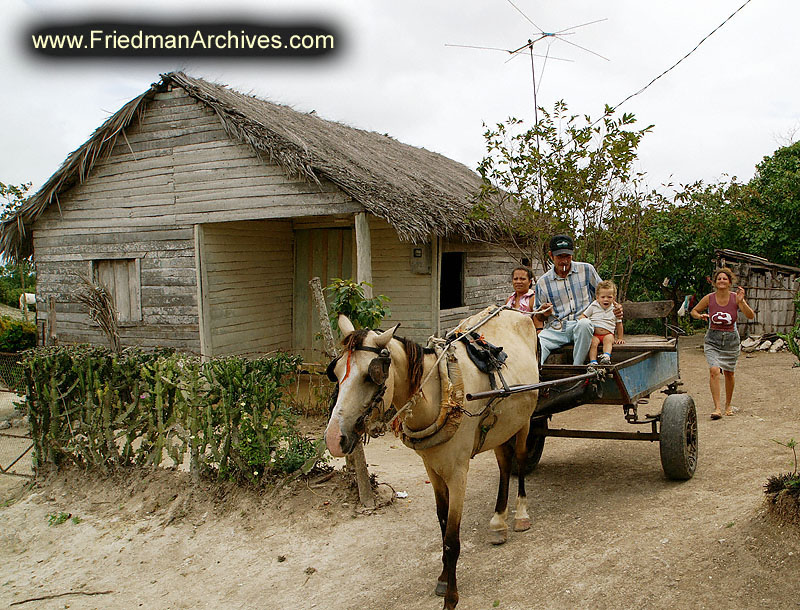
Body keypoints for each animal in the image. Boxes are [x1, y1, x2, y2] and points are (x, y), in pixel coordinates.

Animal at [324, 308, 536, 608]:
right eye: (336, 371)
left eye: (370, 375)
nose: (334, 438)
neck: (443, 393)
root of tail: (515, 311)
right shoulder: (432, 469)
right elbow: (442, 523)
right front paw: (444, 578)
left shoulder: (458, 473)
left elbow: (453, 539)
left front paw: (451, 597)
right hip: (499, 426)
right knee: (505, 465)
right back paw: (499, 520)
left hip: (525, 420)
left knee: (519, 458)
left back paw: (521, 514)